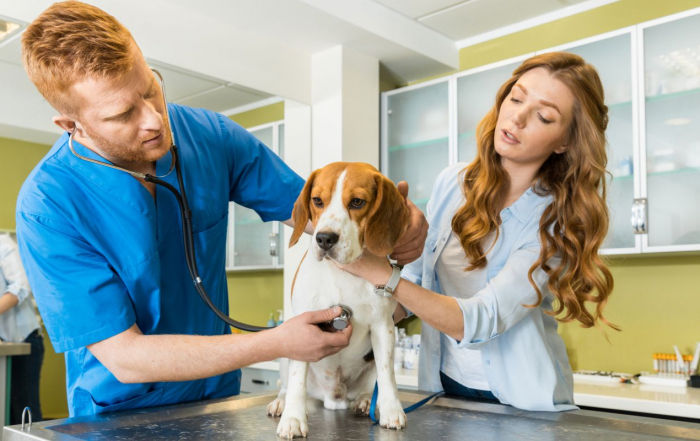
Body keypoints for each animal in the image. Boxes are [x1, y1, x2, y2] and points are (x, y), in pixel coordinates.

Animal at [268, 161, 410, 436]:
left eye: (357, 202)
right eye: (317, 200)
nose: (324, 238)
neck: (343, 271)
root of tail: (334, 397)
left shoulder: (383, 326)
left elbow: (387, 374)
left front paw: (391, 410)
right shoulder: (302, 330)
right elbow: (297, 380)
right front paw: (293, 418)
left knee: (371, 385)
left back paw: (365, 401)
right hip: (284, 356)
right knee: (286, 385)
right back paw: (280, 403)